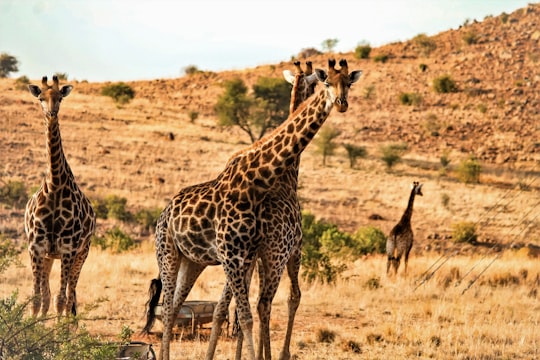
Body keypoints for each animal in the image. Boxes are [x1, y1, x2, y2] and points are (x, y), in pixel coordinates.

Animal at [24, 75, 95, 316]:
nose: (51, 112)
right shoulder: (37, 246)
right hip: (48, 256)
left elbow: (61, 299)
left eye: (59, 98)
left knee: (71, 294)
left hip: (82, 253)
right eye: (41, 98)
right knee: (48, 296)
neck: (55, 186)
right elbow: (37, 298)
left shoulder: (68, 248)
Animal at [142, 59, 362, 360]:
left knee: (175, 306)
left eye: (348, 82)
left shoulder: (248, 254)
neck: (261, 181)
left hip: (193, 260)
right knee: (169, 305)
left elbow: (238, 309)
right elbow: (249, 313)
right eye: (326, 82)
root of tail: (164, 214)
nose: (341, 103)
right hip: (167, 252)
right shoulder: (251, 253)